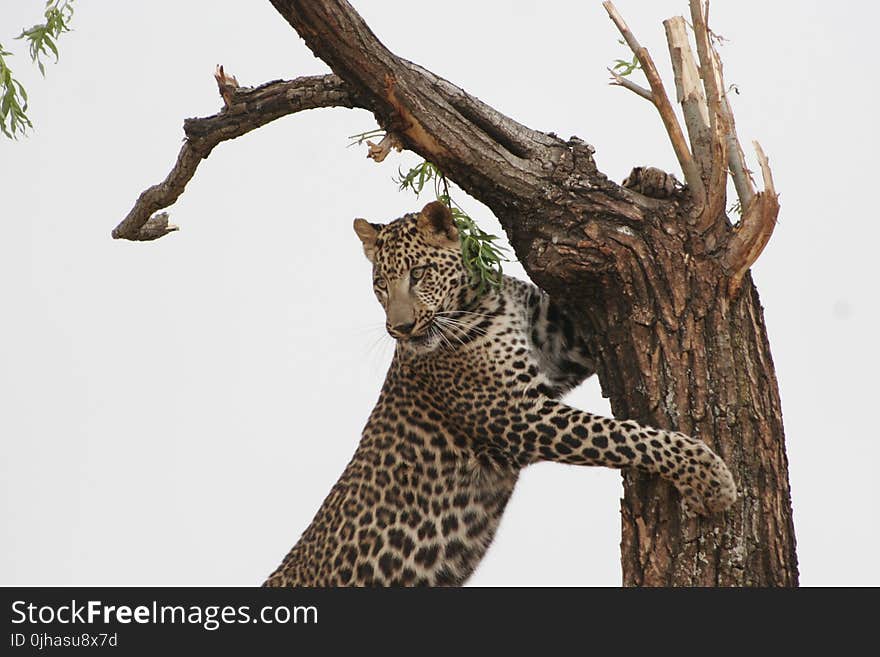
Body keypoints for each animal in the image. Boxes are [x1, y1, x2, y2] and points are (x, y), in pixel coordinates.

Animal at [264, 200, 740, 584]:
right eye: (380, 283)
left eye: (418, 274)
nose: (399, 328)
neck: (480, 302)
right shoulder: (517, 415)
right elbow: (624, 436)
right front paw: (710, 476)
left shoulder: (559, 346)